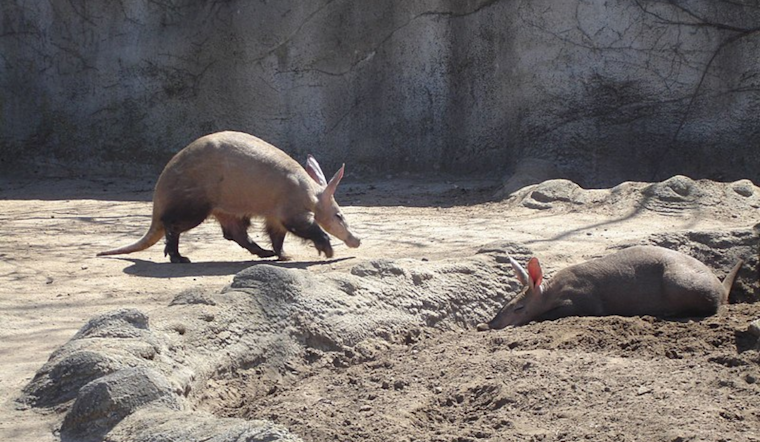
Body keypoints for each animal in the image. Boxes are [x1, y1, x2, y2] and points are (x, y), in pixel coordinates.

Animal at [97, 131, 360, 263]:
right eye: (339, 215)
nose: (356, 240)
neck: (310, 193)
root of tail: (158, 200)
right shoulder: (290, 208)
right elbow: (304, 227)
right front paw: (327, 249)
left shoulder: (274, 214)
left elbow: (277, 235)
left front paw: (282, 255)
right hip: (195, 204)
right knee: (172, 225)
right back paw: (177, 256)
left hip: (226, 208)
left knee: (235, 232)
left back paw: (263, 253)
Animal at [478, 245, 743, 330]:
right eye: (505, 304)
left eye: (519, 308)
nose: (490, 325)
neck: (551, 291)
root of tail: (721, 287)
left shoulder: (584, 300)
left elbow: (548, 314)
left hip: (679, 281)